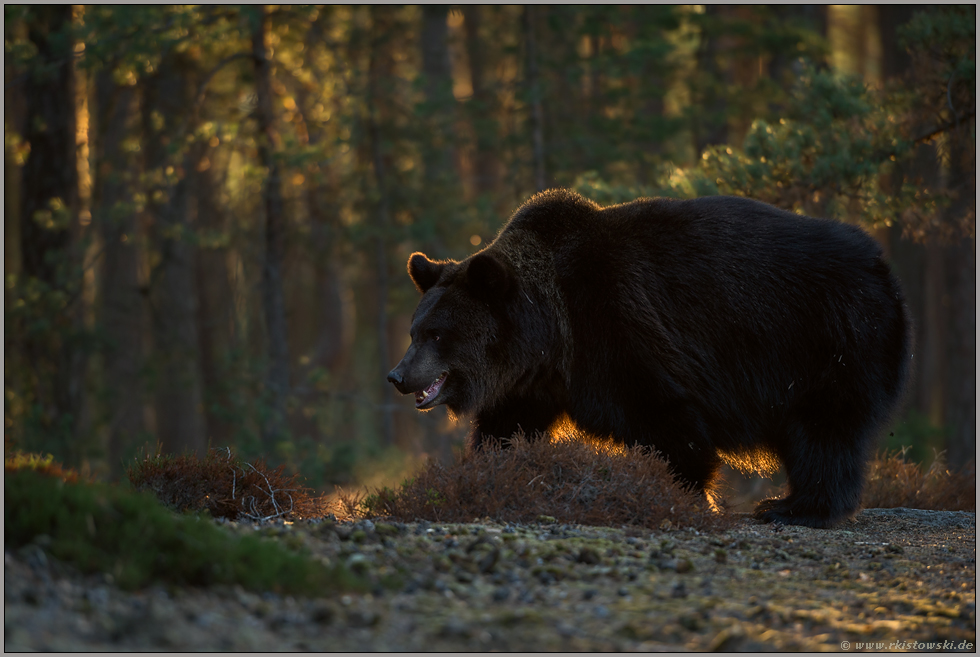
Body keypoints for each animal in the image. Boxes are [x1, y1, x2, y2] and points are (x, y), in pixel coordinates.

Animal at [386, 190, 916, 528]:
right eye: (415, 331)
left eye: (437, 333)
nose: (397, 375)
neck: (551, 332)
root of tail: (882, 266)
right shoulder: (535, 382)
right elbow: (506, 430)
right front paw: (485, 477)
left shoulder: (617, 328)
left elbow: (664, 416)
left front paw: (685, 492)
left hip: (829, 338)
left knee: (825, 430)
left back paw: (793, 507)